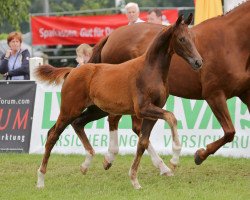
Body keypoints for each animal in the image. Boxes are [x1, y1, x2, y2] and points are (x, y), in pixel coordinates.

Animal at [35, 14, 203, 190]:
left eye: (193, 38)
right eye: (182, 39)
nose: (198, 62)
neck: (151, 70)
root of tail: (72, 70)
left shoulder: (153, 111)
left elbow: (143, 142)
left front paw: (135, 180)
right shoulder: (142, 108)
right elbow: (171, 117)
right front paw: (175, 158)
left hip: (96, 110)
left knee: (78, 123)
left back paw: (87, 163)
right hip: (70, 110)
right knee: (53, 135)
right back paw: (40, 179)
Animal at [82, 0, 250, 168]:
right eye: (182, 39)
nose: (198, 62)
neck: (230, 40)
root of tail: (111, 36)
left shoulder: (245, 94)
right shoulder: (214, 95)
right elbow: (229, 132)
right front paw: (199, 155)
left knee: (133, 127)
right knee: (117, 120)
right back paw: (115, 157)